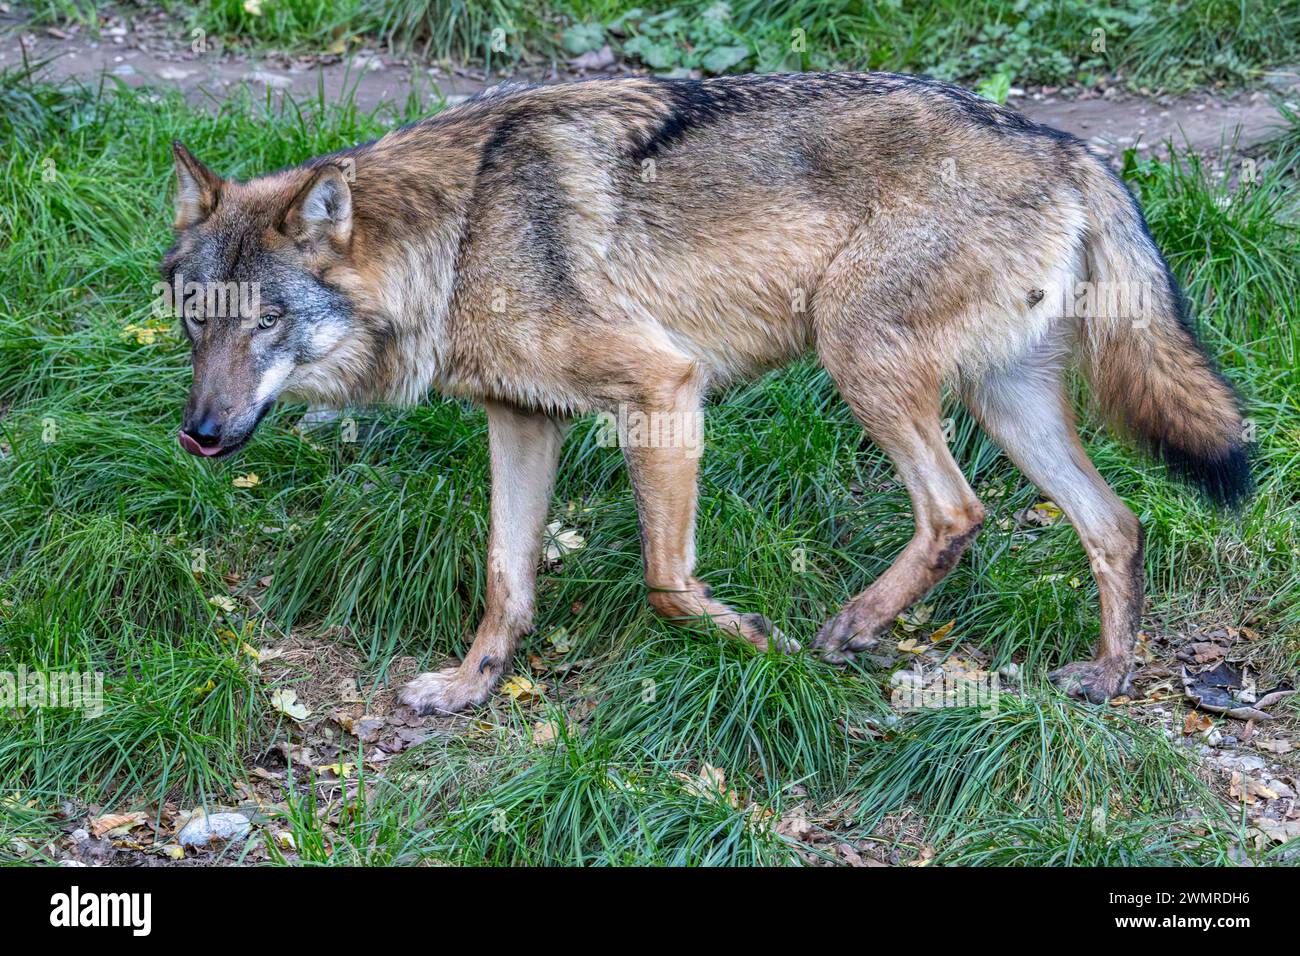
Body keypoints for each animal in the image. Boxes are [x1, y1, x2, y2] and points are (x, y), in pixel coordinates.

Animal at [164, 72, 1250, 713]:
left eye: (266, 321)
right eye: (193, 318)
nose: (201, 433)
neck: (462, 235)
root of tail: (1070, 146)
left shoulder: (662, 387)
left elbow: (665, 580)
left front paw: (755, 640)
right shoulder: (522, 418)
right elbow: (507, 576)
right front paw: (470, 686)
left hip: (857, 357)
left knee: (957, 512)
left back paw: (849, 629)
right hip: (1004, 402)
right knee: (1114, 523)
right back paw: (1105, 675)